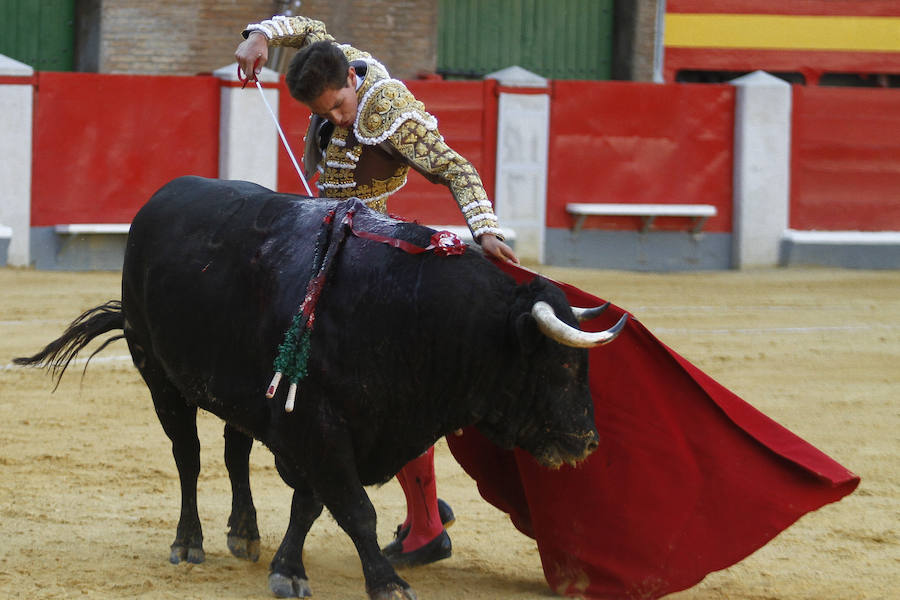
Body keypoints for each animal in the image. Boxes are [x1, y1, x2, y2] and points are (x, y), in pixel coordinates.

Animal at [19, 176, 624, 596]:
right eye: (559, 367)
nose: (587, 442)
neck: (406, 311)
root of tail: (159, 199)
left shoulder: (328, 428)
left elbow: (310, 504)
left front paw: (287, 568)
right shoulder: (318, 425)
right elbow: (354, 507)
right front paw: (387, 582)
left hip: (239, 395)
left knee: (234, 454)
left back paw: (244, 532)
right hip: (157, 372)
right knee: (187, 456)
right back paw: (188, 542)